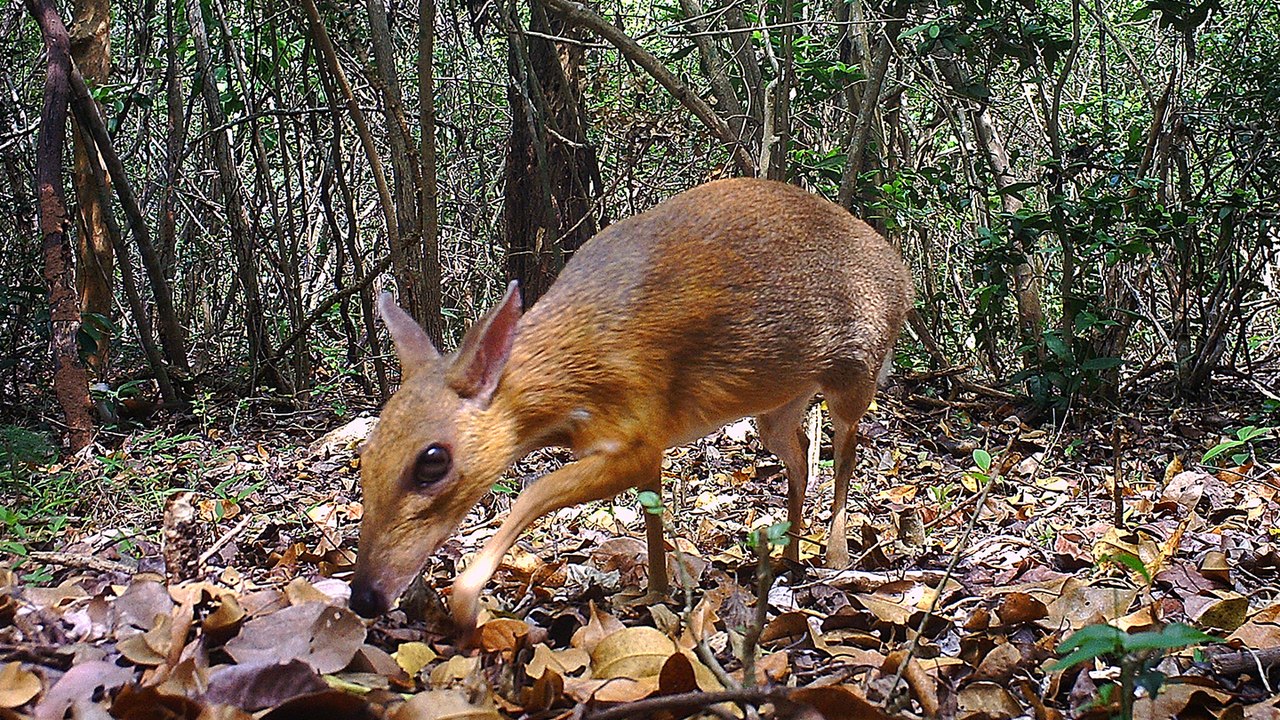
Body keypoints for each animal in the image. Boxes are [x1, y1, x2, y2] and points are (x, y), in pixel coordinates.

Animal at [348, 177, 913, 634]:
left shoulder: (637, 427)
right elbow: (650, 511)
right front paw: (655, 592)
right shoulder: (647, 441)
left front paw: (466, 602)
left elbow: (533, 492)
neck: (575, 369)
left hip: (856, 371)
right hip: (778, 402)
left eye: (432, 461)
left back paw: (835, 555)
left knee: (845, 453)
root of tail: (904, 277)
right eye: (365, 455)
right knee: (797, 452)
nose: (363, 596)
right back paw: (788, 555)